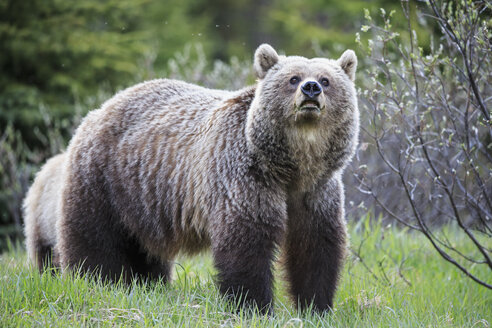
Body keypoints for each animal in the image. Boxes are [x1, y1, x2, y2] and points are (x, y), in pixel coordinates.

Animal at [56, 43, 358, 312]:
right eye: (293, 78)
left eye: (326, 80)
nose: (311, 88)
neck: (291, 167)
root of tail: (101, 107)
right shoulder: (244, 178)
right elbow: (246, 243)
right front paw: (254, 305)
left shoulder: (316, 192)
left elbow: (316, 247)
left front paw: (316, 306)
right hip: (103, 179)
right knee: (94, 236)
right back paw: (97, 280)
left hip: (144, 199)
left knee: (145, 248)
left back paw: (148, 284)